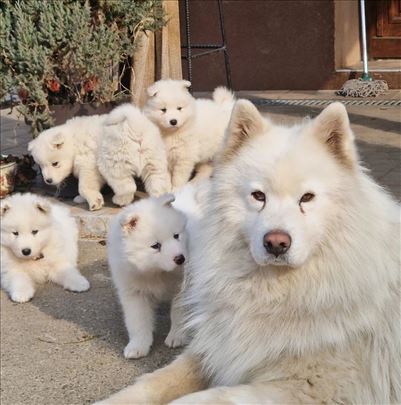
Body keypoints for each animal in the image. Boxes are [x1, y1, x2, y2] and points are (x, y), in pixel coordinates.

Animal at [97, 101, 400, 404]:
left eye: (307, 198)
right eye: (258, 196)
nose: (276, 243)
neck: (275, 294)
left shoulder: (313, 387)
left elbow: (204, 398)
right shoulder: (216, 348)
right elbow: (152, 382)